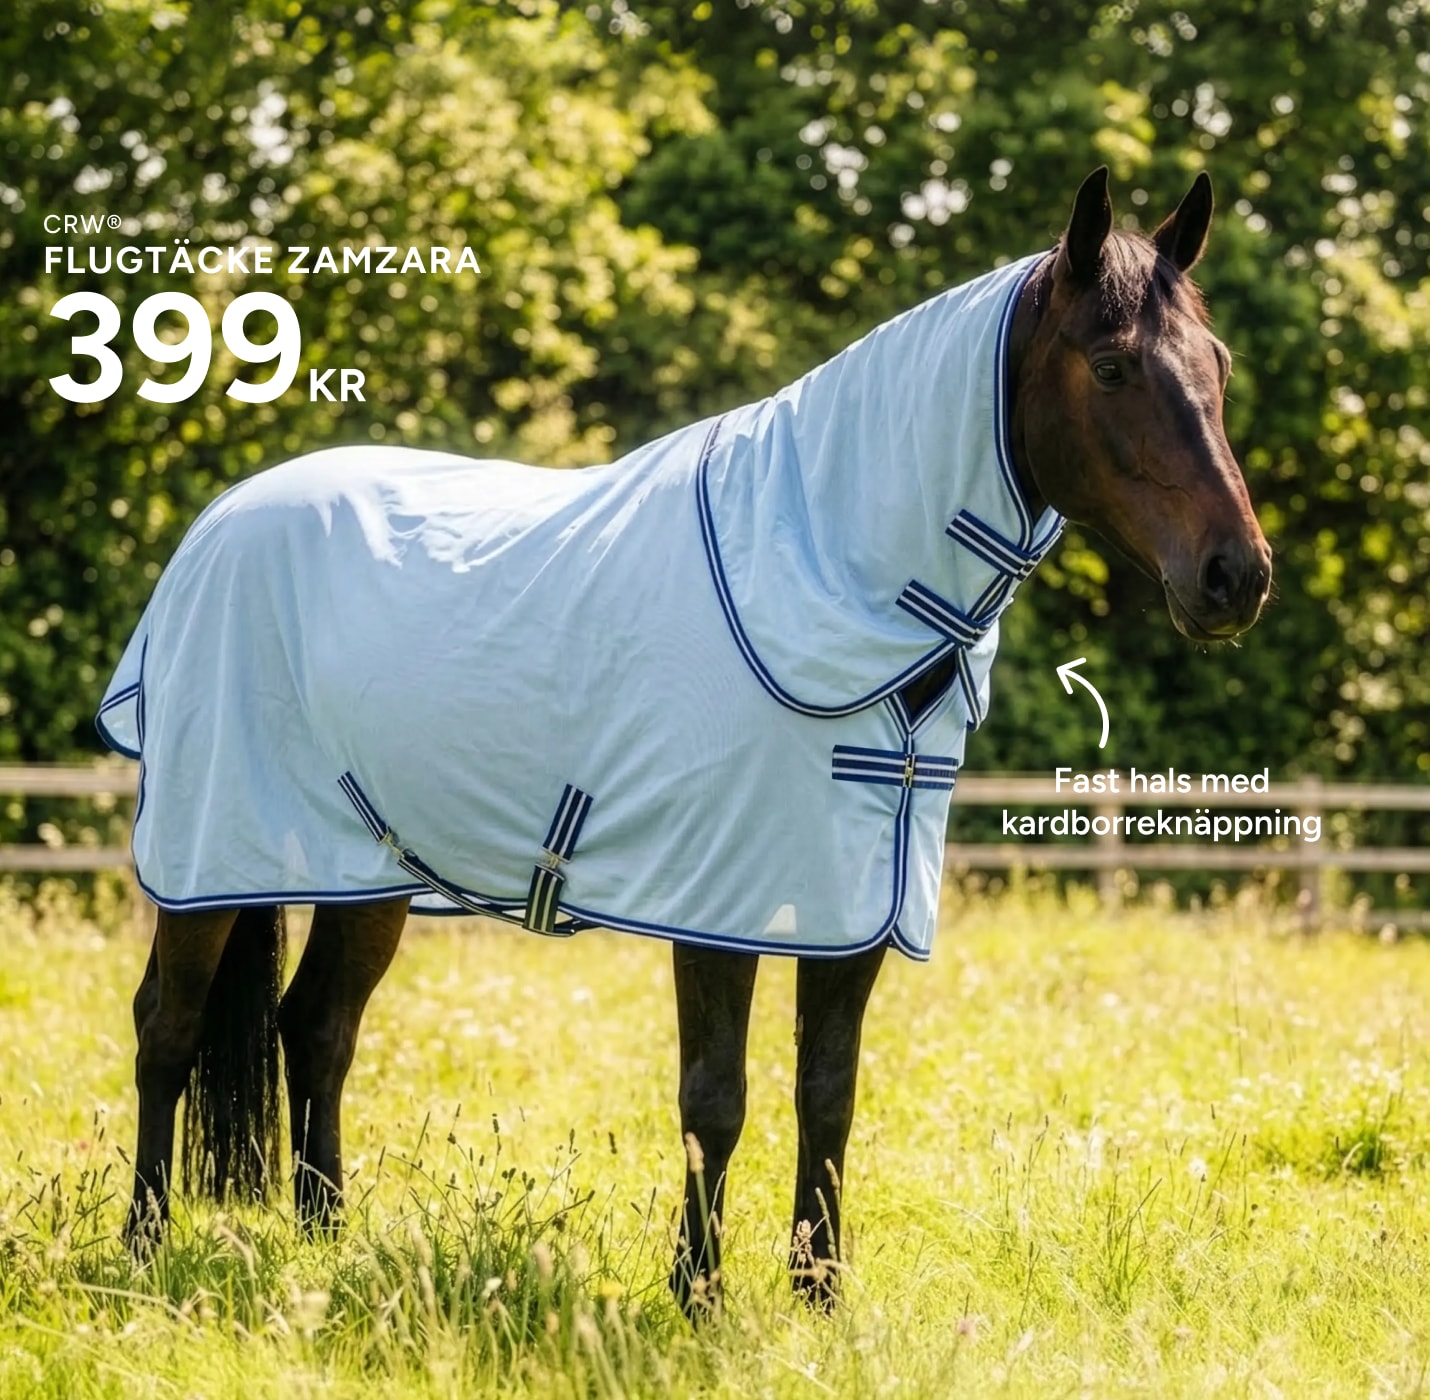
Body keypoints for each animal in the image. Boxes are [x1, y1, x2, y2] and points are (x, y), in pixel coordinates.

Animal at [101, 167, 1270, 1315]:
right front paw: (697, 1292)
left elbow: (827, 1094)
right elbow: (717, 1096)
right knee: (167, 1025)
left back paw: (327, 1243)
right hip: (211, 852)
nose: (1237, 576)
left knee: (317, 1027)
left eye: (1214, 366)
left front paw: (818, 1296)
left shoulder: (851, 904)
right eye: (1112, 366)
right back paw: (144, 1247)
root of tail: (218, 523)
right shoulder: (720, 903)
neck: (824, 561)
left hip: (366, 866)